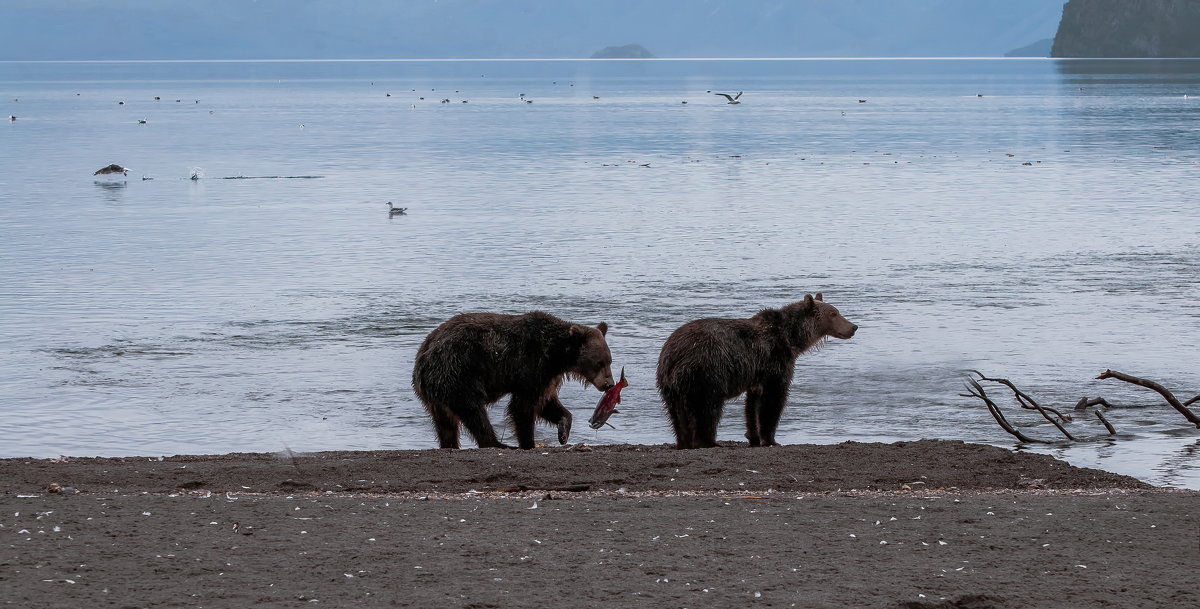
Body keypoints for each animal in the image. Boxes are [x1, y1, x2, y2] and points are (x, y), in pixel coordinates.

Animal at [415, 314, 619, 448]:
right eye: (599, 362)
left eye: (609, 360)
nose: (609, 384)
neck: (557, 356)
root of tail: (424, 353)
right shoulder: (530, 365)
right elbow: (523, 407)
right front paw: (528, 442)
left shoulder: (547, 376)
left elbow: (548, 404)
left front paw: (563, 432)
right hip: (458, 372)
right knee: (474, 412)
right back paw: (497, 443)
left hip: (438, 392)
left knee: (445, 423)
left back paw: (449, 444)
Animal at [652, 292, 859, 450]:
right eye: (833, 313)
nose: (853, 326)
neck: (791, 338)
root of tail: (673, 354)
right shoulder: (775, 360)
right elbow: (772, 400)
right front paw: (770, 439)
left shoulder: (757, 373)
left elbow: (752, 405)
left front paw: (753, 437)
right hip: (707, 371)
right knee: (708, 408)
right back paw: (709, 441)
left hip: (670, 384)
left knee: (676, 413)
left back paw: (683, 442)